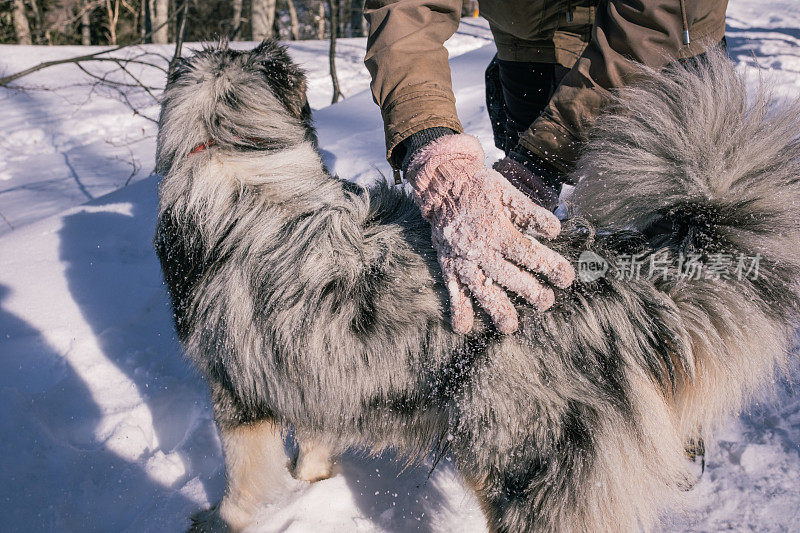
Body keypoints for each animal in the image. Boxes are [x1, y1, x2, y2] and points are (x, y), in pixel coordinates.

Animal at [153, 42, 800, 532]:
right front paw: (312, 482)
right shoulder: (313, 372)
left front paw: (220, 519)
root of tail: (604, 280)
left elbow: (243, 486)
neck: (240, 158)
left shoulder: (235, 398)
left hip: (515, 468)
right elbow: (313, 443)